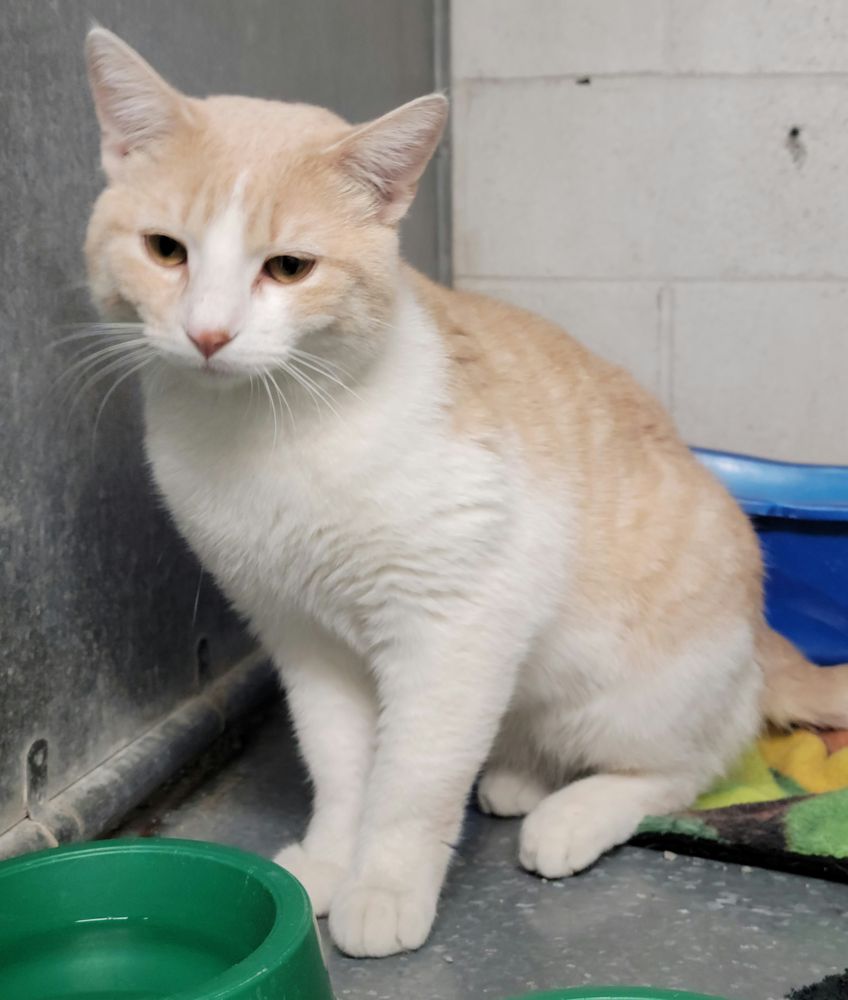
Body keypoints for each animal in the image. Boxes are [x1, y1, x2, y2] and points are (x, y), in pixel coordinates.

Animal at [83, 27, 848, 958]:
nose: (209, 334)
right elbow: (342, 767)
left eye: (289, 268)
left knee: (689, 768)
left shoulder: (454, 629)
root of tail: (764, 640)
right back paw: (519, 778)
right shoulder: (302, 636)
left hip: (629, 694)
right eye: (166, 251)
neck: (268, 434)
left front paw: (383, 886)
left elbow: (412, 779)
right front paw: (331, 861)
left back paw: (575, 814)